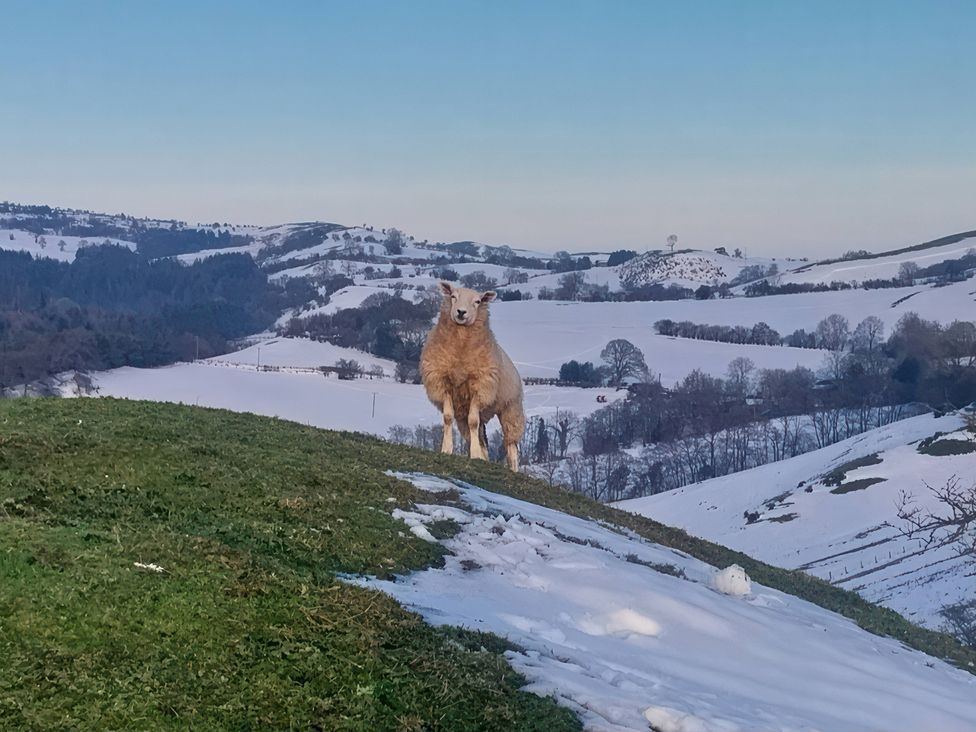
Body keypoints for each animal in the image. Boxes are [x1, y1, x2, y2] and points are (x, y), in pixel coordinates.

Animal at [420, 282, 525, 471]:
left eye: (477, 301)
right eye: (453, 296)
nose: (461, 312)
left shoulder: (480, 387)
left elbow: (473, 421)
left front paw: (474, 455)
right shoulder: (443, 383)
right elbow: (448, 418)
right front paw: (447, 449)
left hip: (511, 408)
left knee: (510, 443)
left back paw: (513, 469)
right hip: (465, 412)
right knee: (479, 436)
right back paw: (484, 458)